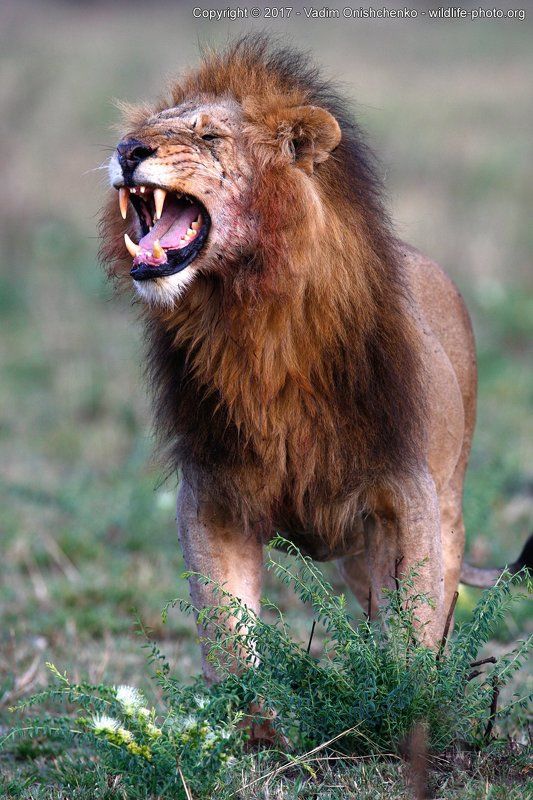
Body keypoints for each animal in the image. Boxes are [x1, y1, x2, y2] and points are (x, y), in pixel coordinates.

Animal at [101, 36, 531, 682]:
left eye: (210, 137)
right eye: (143, 129)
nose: (128, 150)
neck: (250, 318)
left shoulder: (406, 496)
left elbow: (412, 635)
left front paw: (406, 700)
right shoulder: (212, 494)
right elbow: (230, 642)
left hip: (447, 506)